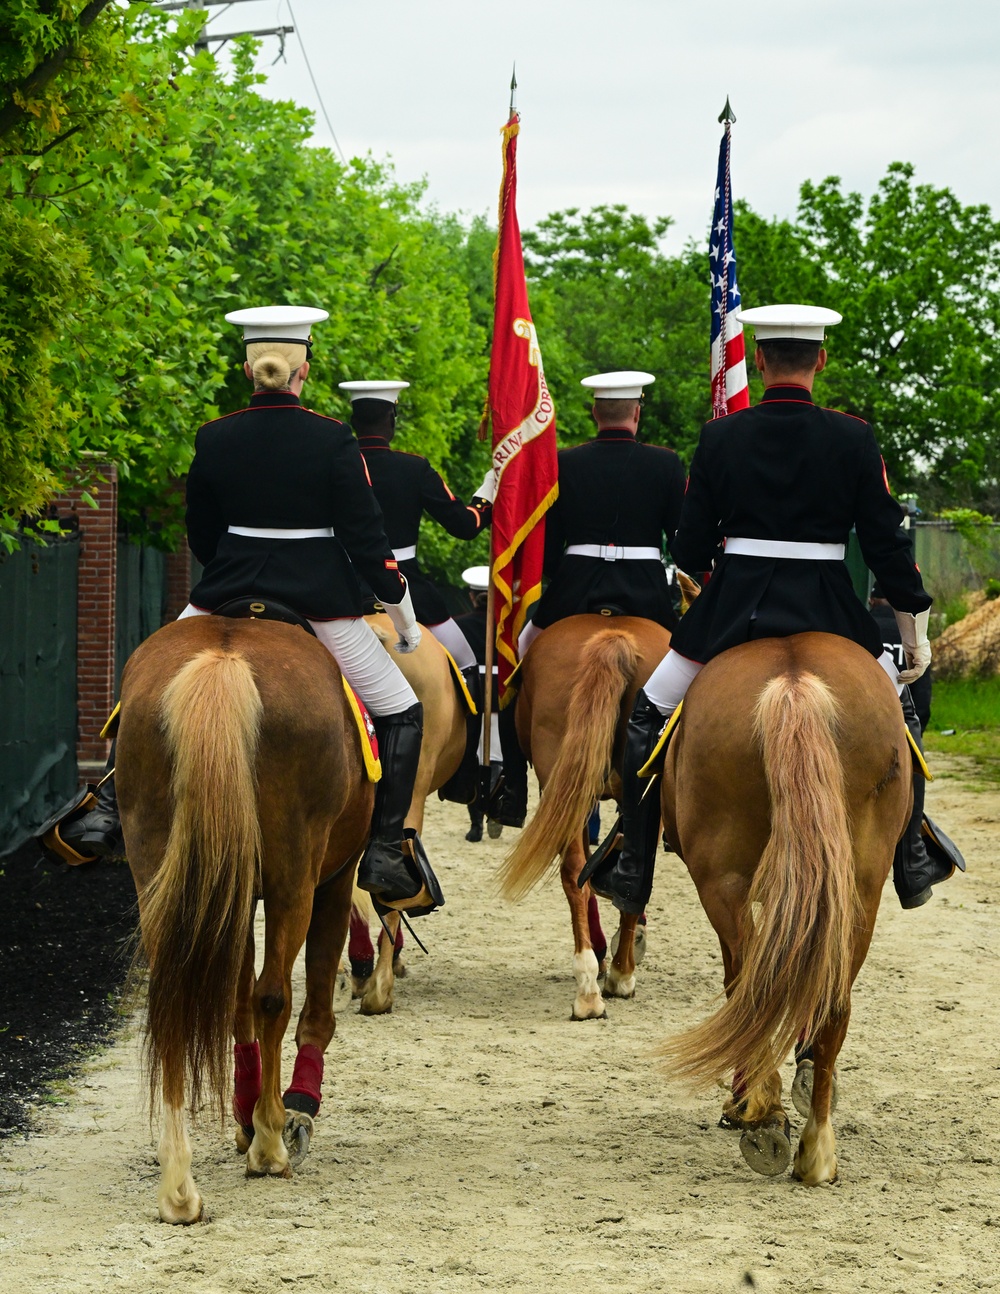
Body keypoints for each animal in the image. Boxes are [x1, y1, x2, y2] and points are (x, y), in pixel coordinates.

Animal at [113, 615, 369, 1221]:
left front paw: (246, 1114)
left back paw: (178, 1184)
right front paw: (290, 1112)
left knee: (175, 1002)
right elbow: (305, 1004)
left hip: (160, 872)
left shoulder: (230, 890)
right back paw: (271, 1144)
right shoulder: (334, 878)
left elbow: (234, 1004)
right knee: (274, 995)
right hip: (294, 879)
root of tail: (223, 657)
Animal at [659, 631, 910, 1185]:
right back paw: (816, 1147)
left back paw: (762, 1113)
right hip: (859, 888)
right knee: (831, 1000)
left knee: (748, 990)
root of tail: (794, 679)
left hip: (723, 884)